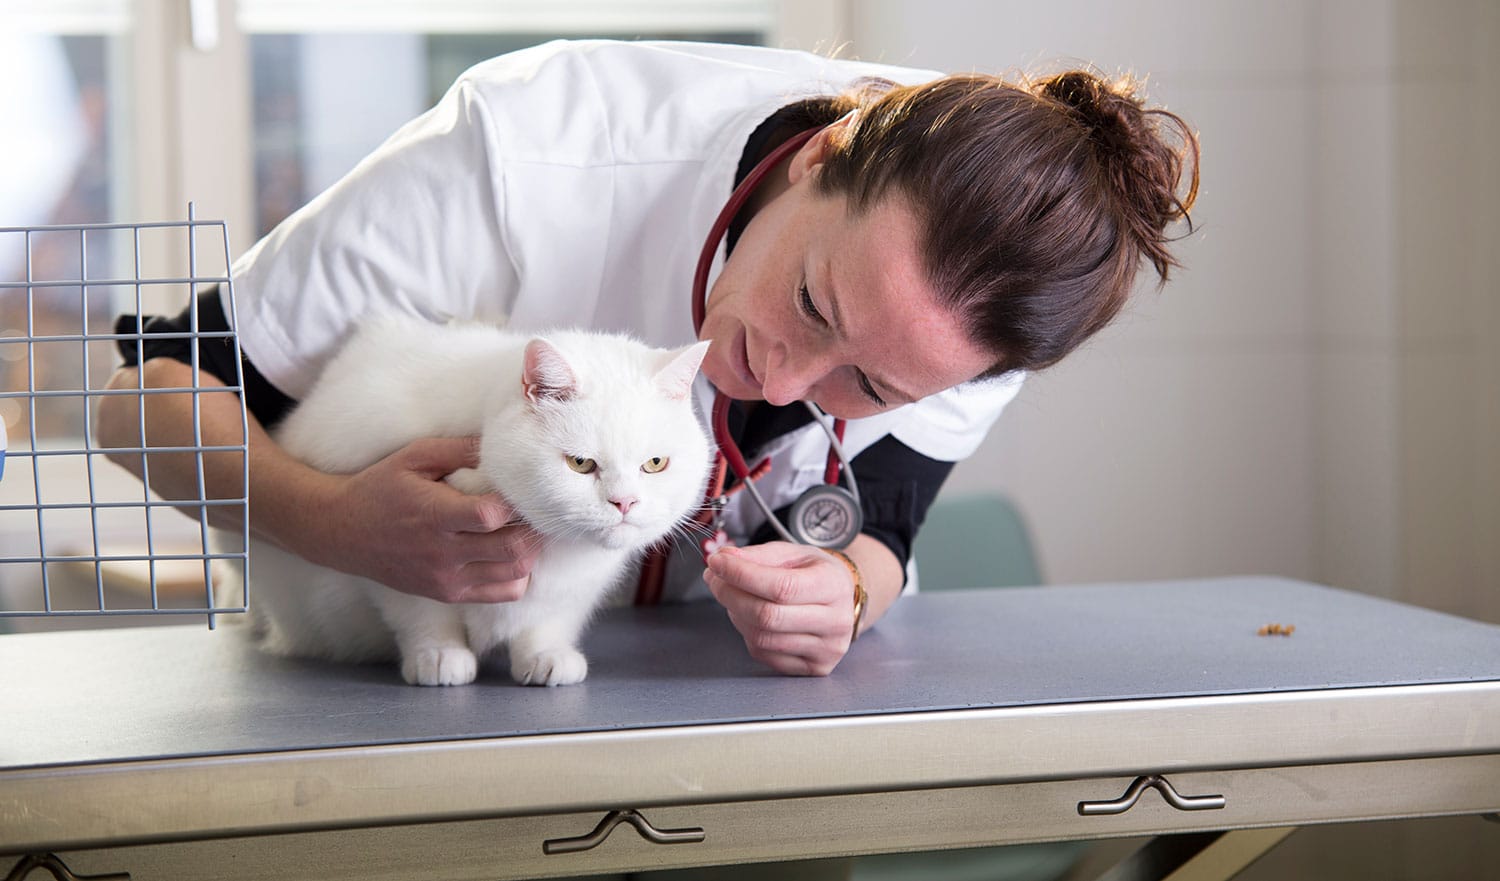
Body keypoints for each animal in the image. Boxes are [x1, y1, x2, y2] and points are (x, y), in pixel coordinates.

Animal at [222, 318, 714, 690]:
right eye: (580, 464)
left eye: (655, 463)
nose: (624, 502)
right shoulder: (393, 552)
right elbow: (422, 609)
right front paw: (439, 654)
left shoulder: (573, 586)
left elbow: (547, 619)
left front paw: (545, 654)